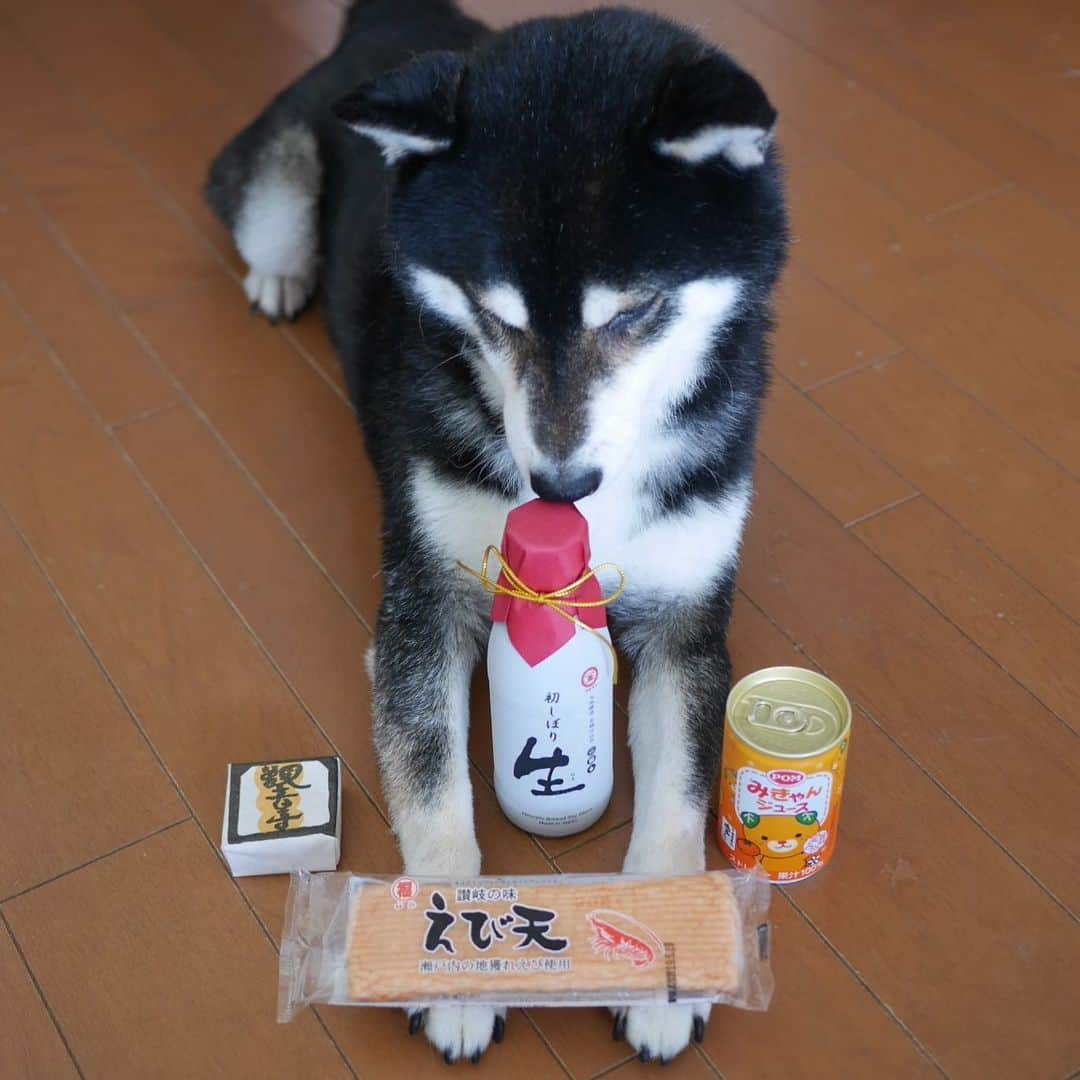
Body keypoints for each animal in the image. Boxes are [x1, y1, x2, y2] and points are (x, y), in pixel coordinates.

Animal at [208, 0, 786, 1062]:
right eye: (490, 315)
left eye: (641, 312)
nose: (561, 483)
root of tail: (401, 20)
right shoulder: (423, 606)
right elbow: (433, 780)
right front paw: (449, 963)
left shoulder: (685, 623)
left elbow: (681, 794)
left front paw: (673, 963)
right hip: (276, 184)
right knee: (265, 216)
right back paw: (277, 276)